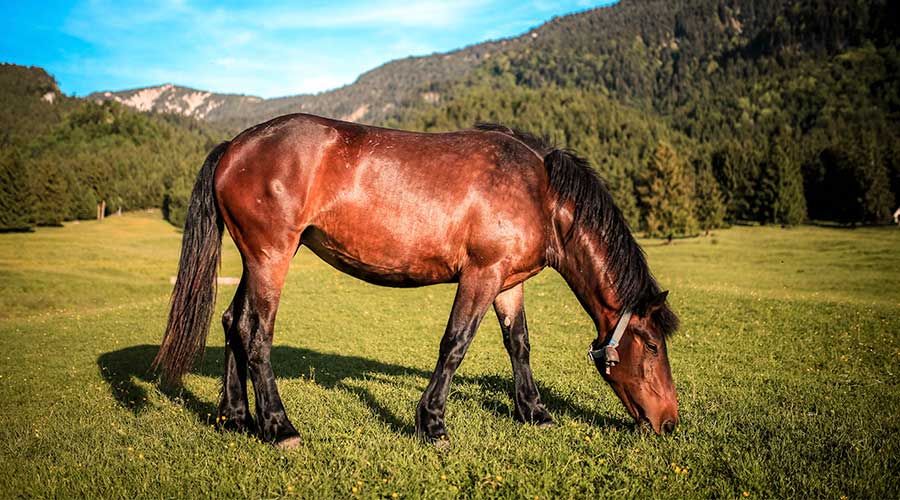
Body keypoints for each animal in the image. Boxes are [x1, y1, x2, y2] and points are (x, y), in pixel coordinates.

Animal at [155, 114, 680, 450]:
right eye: (653, 346)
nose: (670, 423)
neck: (539, 191)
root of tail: (235, 146)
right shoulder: (481, 275)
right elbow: (455, 344)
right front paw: (432, 424)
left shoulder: (509, 282)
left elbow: (519, 344)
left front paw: (534, 411)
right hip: (271, 257)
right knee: (257, 334)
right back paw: (280, 427)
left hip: (257, 259)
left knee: (233, 322)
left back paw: (235, 417)